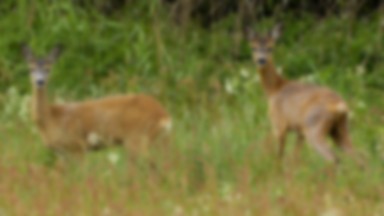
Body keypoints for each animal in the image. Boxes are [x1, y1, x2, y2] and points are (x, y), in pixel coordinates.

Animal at [23, 45, 172, 164]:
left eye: (49, 68)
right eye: (30, 68)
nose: (40, 81)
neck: (51, 118)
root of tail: (164, 115)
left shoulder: (77, 146)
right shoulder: (63, 154)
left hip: (137, 138)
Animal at [248, 24, 362, 165]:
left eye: (271, 47)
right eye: (253, 47)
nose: (261, 60)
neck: (275, 89)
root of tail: (340, 105)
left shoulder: (279, 125)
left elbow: (279, 156)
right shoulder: (299, 131)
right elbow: (296, 157)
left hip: (314, 128)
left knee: (334, 158)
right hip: (341, 129)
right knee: (361, 158)